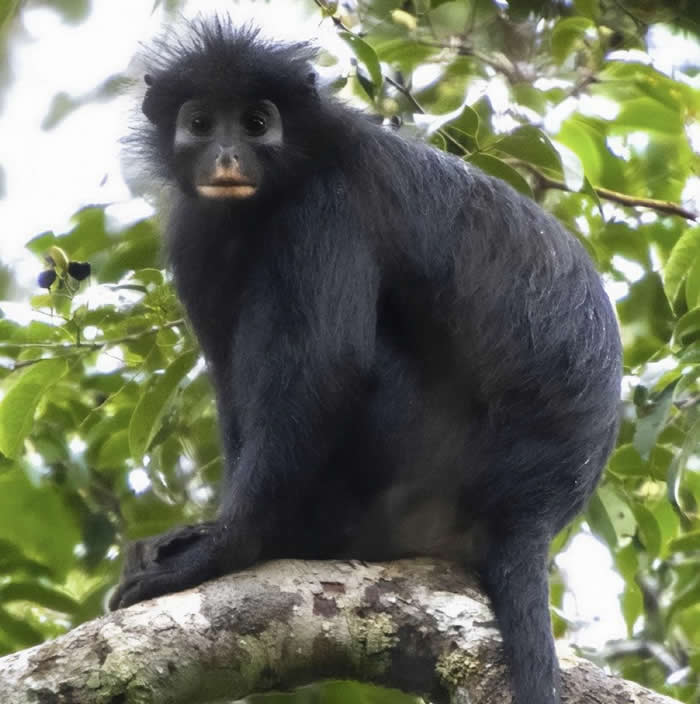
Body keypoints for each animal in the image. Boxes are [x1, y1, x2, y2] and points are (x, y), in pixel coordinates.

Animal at [110, 18, 622, 704]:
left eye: (256, 124)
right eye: (200, 123)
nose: (226, 157)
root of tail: (533, 508)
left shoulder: (325, 207)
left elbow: (328, 369)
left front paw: (225, 550)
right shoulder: (197, 229)